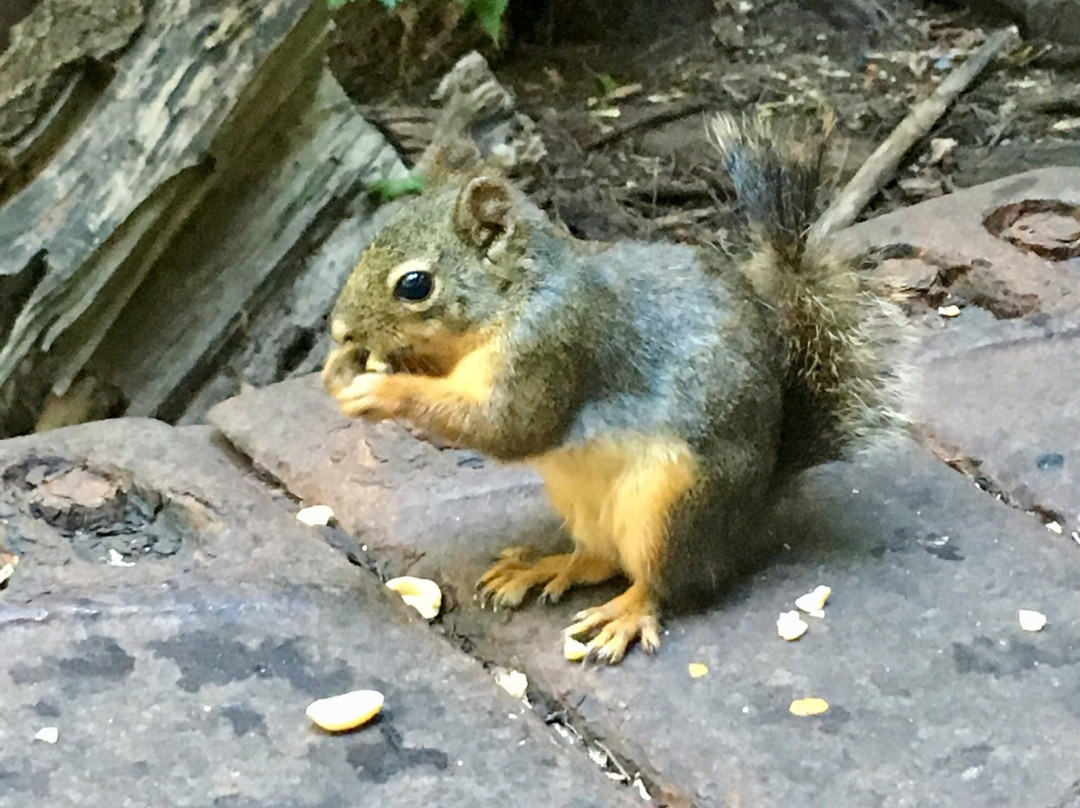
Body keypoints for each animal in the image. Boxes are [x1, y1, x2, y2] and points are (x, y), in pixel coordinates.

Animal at [319, 110, 902, 661]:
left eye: (415, 285)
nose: (339, 329)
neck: (517, 294)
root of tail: (749, 518)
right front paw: (339, 368)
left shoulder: (553, 344)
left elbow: (509, 427)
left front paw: (381, 392)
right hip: (581, 499)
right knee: (601, 559)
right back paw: (543, 567)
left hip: (671, 508)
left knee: (666, 581)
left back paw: (627, 613)